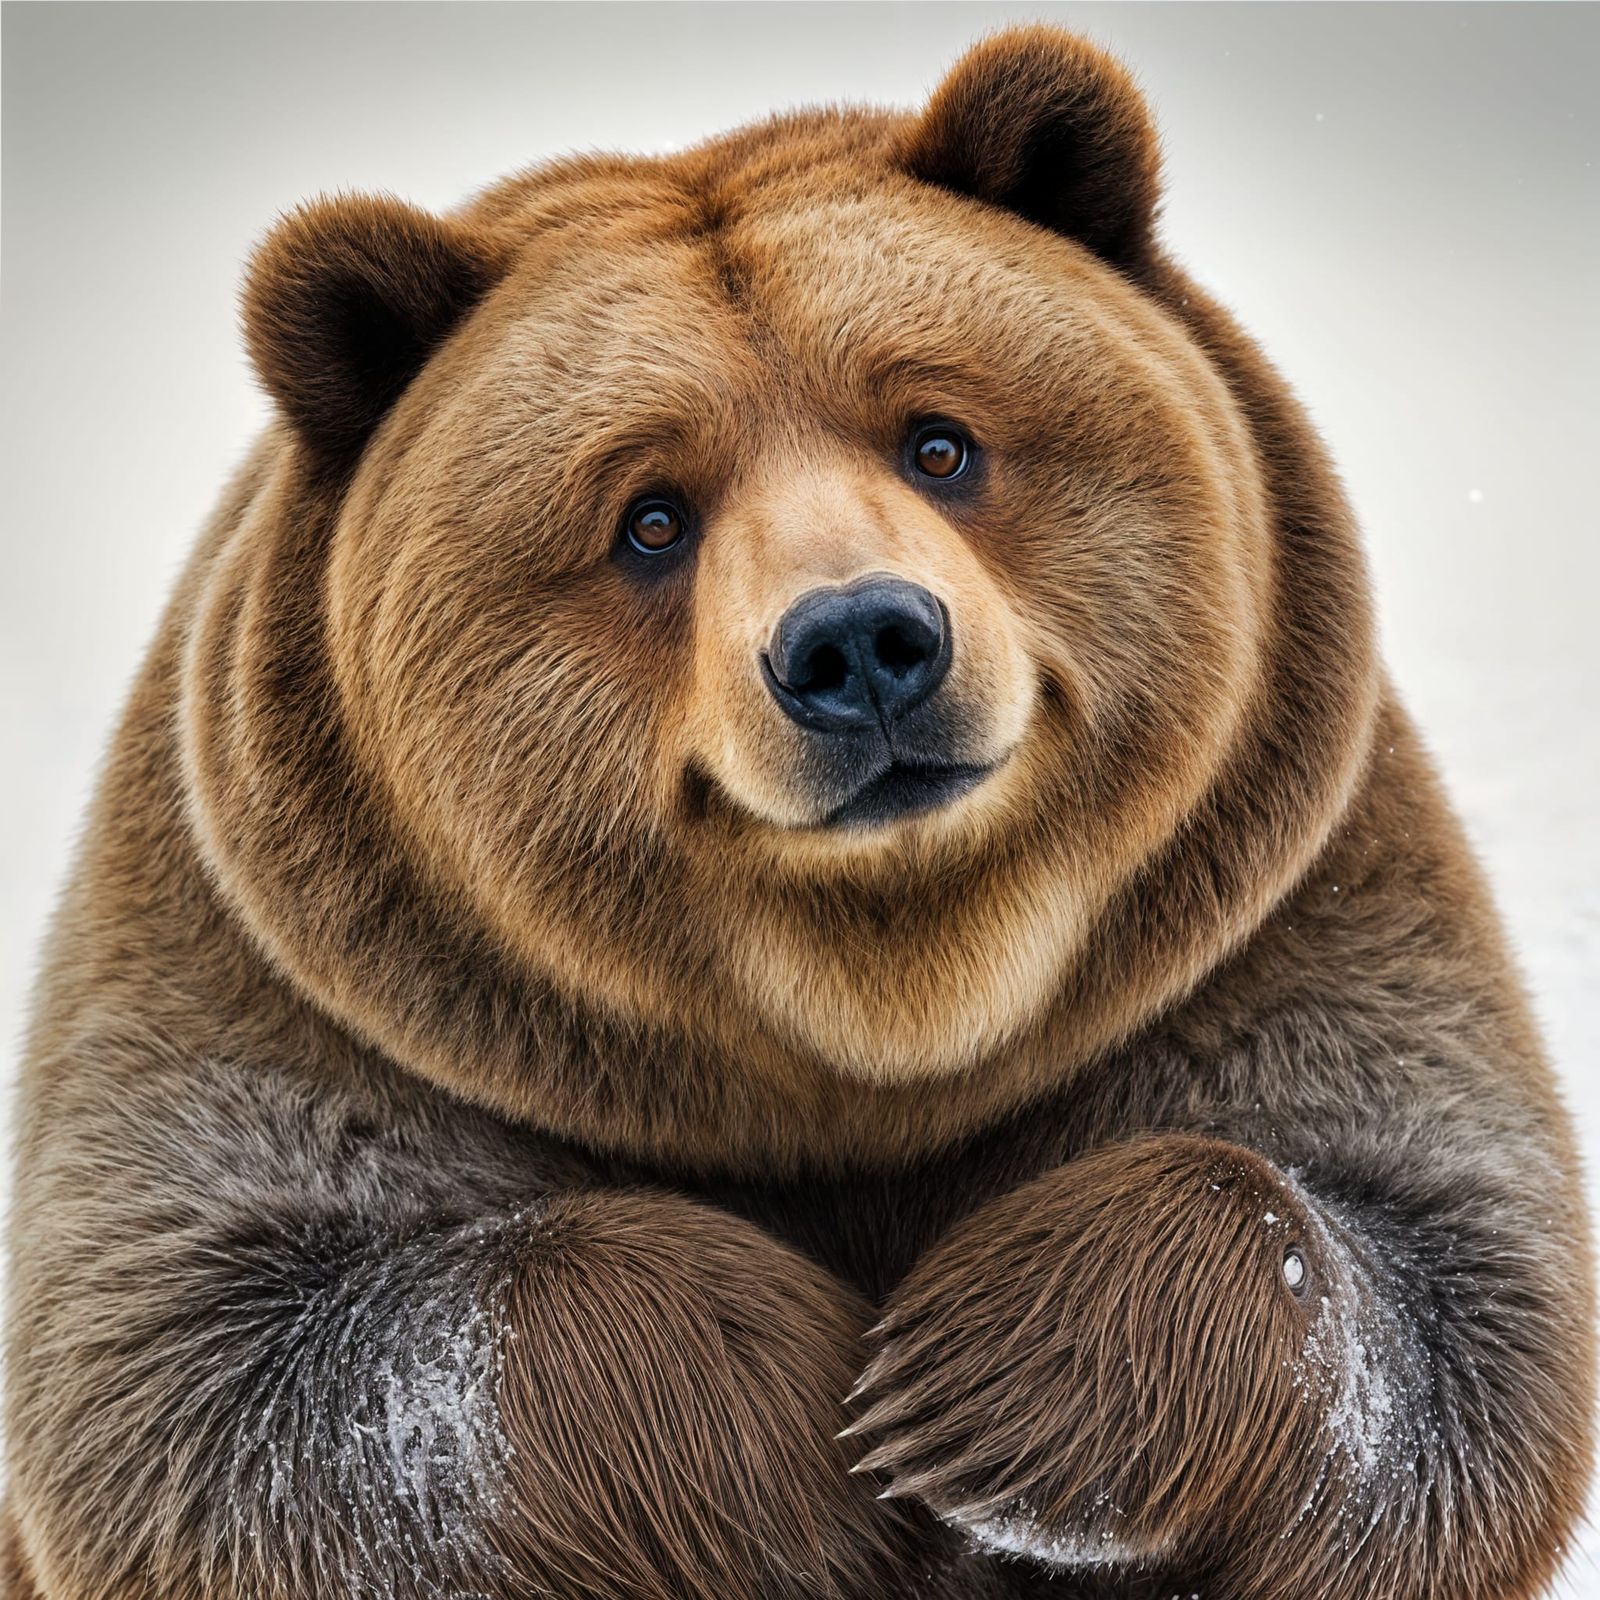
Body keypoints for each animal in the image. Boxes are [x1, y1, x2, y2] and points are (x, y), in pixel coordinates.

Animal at [2, 23, 1593, 1600]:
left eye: (938, 437)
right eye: (650, 515)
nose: (861, 645)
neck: (875, 1036)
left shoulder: (1281, 911)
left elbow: (1434, 1277)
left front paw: (972, 1385)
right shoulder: (289, 980)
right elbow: (215, 1370)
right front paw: (805, 1422)